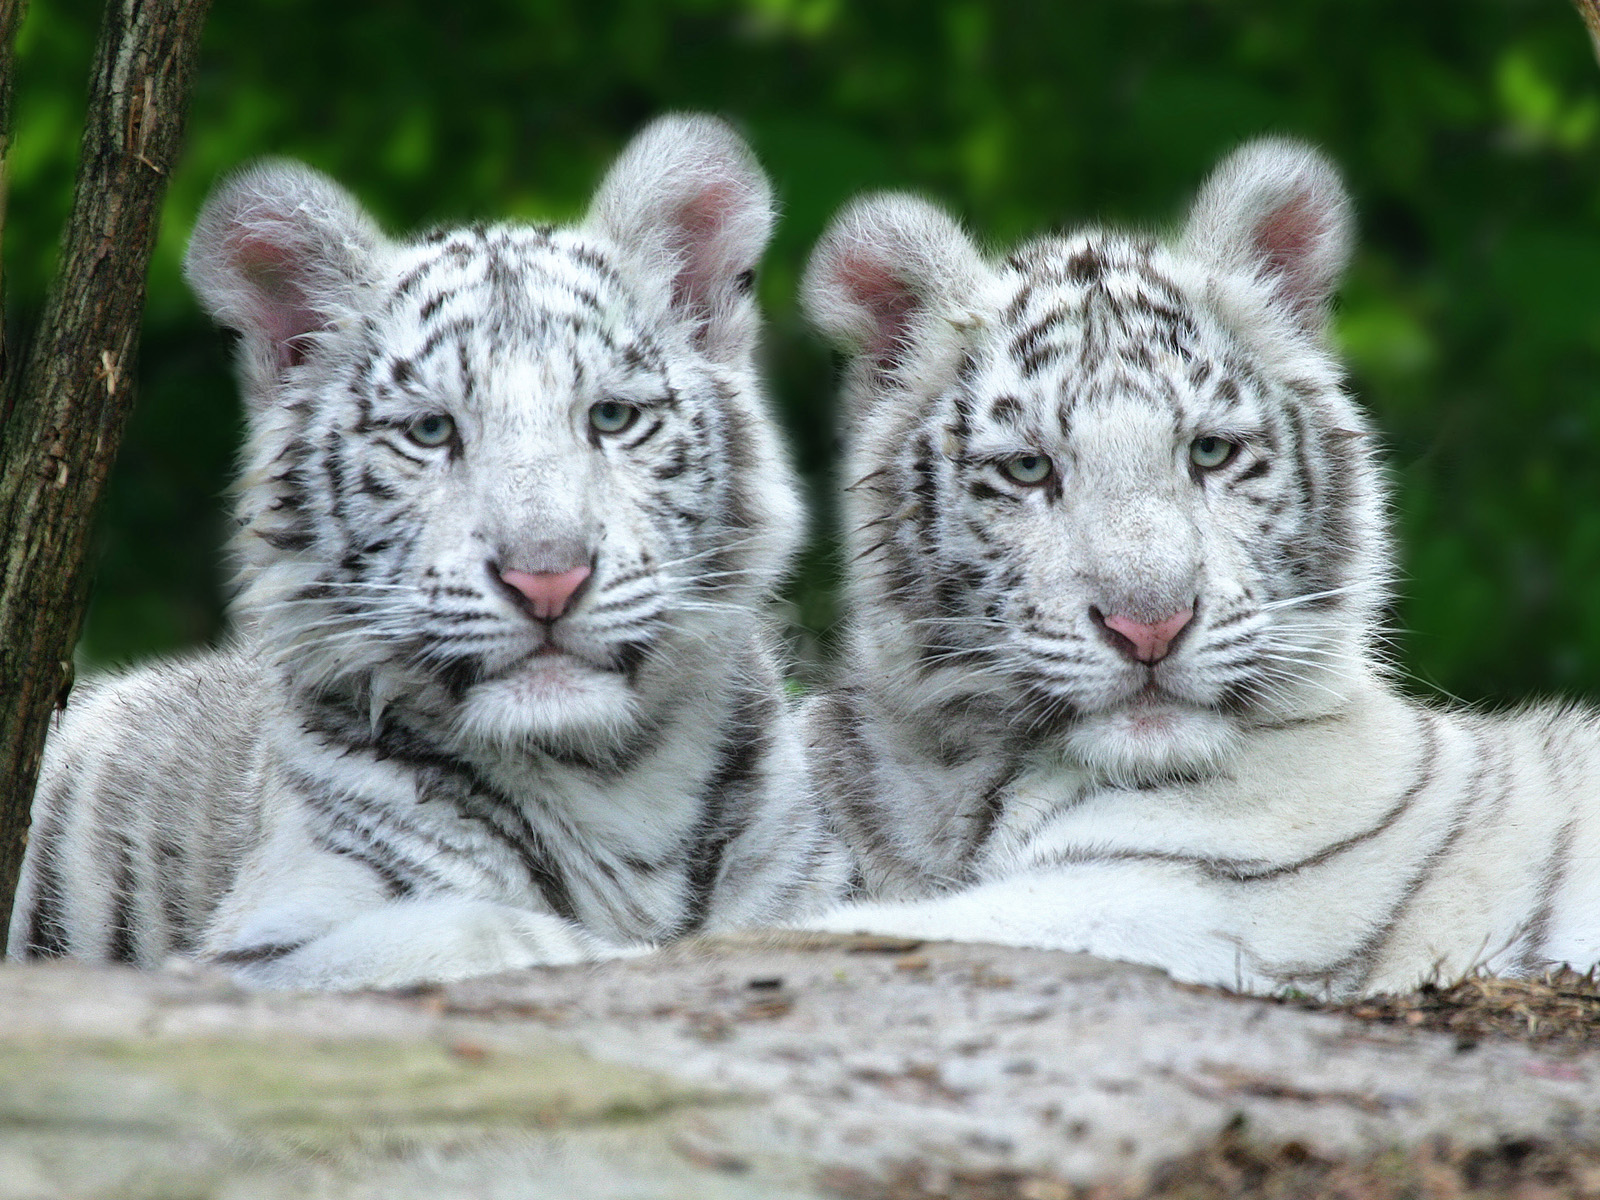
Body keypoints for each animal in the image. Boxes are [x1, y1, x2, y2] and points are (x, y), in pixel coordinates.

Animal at [8, 114, 848, 989]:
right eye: (431, 431)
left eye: (612, 417)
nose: (547, 578)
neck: (613, 782)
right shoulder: (258, 949)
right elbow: (489, 932)